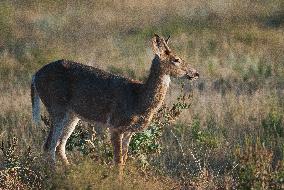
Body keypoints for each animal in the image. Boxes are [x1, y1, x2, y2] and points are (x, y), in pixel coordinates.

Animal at [31, 34, 199, 174]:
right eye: (176, 59)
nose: (196, 73)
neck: (138, 98)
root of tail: (35, 75)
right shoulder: (116, 125)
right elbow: (118, 161)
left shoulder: (129, 131)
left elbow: (123, 159)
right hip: (56, 107)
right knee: (49, 145)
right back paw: (55, 175)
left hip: (72, 115)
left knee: (60, 145)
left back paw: (69, 172)